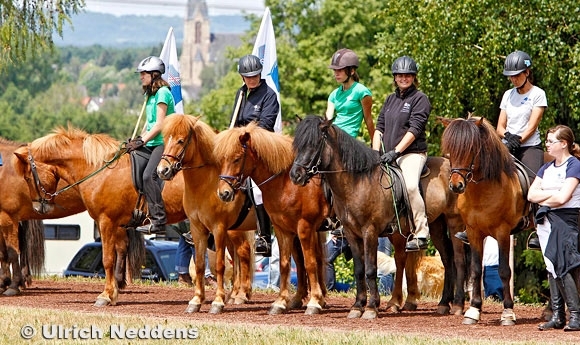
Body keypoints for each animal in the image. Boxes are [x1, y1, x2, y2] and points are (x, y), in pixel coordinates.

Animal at [12, 126, 253, 306]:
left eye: (28, 177)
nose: (39, 207)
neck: (99, 169)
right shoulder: (118, 225)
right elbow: (119, 254)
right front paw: (114, 293)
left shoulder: (106, 222)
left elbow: (108, 259)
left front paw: (105, 296)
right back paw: (235, 294)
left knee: (241, 252)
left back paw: (239, 295)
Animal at [156, 114, 260, 314]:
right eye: (166, 139)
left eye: (181, 141)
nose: (162, 171)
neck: (206, 185)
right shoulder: (198, 229)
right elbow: (199, 264)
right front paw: (196, 301)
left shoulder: (218, 228)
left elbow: (219, 265)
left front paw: (218, 302)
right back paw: (236, 294)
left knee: (243, 253)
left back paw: (241, 295)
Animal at [213, 121, 330, 314]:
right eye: (220, 160)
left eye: (237, 158)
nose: (224, 193)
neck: (286, 182)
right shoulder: (284, 229)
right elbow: (286, 264)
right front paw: (281, 302)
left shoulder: (305, 227)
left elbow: (310, 262)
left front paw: (314, 302)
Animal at [290, 115, 466, 318]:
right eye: (298, 145)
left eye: (314, 143)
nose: (295, 175)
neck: (358, 182)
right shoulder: (351, 233)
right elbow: (359, 270)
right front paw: (357, 306)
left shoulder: (370, 232)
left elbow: (370, 269)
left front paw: (371, 307)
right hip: (435, 226)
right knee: (444, 259)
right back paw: (441, 303)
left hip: (453, 223)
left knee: (458, 259)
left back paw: (458, 305)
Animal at [440, 116, 532, 326]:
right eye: (450, 150)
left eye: (471, 149)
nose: (456, 186)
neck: (482, 191)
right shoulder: (474, 233)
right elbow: (475, 270)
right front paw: (473, 310)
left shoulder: (503, 233)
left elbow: (504, 270)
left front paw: (508, 313)